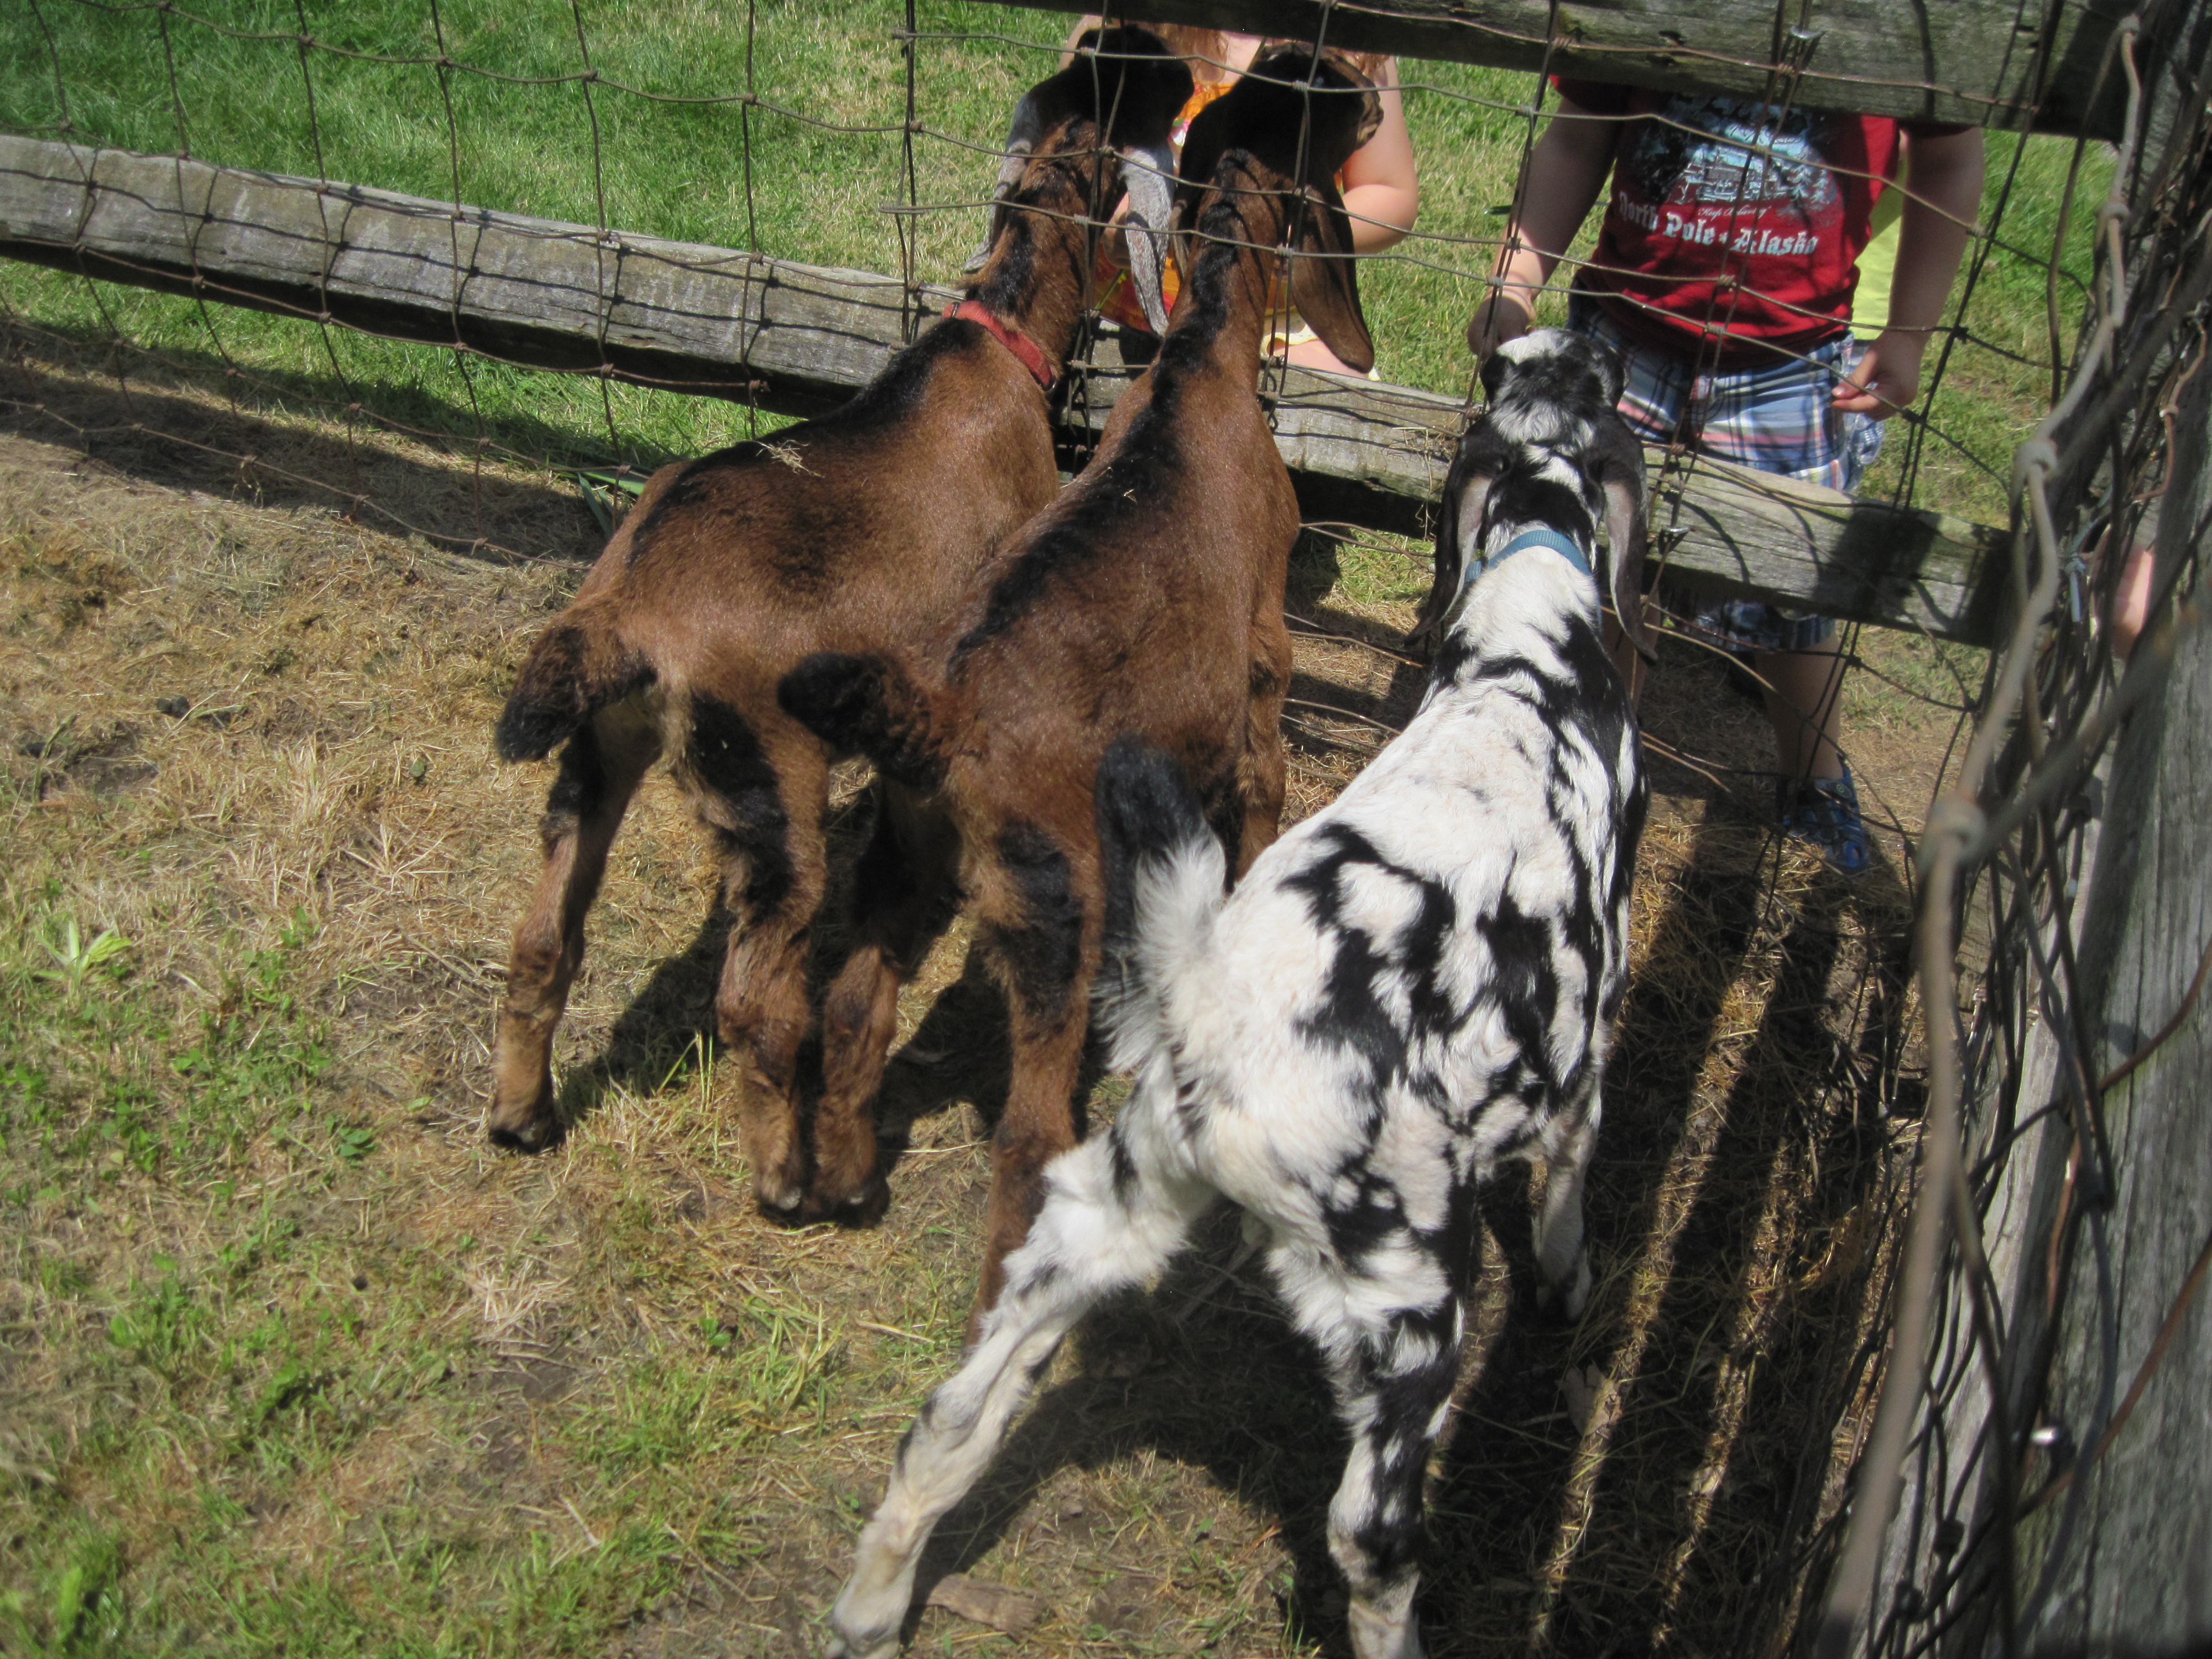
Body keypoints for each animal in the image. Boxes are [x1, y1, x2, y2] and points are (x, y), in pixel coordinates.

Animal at [487, 29, 1194, 1221]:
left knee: (546, 938)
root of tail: (632, 609)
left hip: (599, 754)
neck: (993, 347)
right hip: (771, 789)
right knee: (754, 1006)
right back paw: (787, 1180)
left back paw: (521, 1116)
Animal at [787, 52, 1380, 1318]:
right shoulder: (1261, 677)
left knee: (855, 1005)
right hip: (1059, 909)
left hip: (908, 859)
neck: (1200, 358)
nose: (1369, 92)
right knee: (1027, 1135)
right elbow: (1263, 800)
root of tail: (945, 718)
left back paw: (848, 1178)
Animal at [832, 332, 1663, 1659]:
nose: (1596, 339)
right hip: (1408, 1303)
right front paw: (1571, 1280)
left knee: (952, 1416)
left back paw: (869, 1607)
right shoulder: (1589, 1034)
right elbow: (1574, 1175)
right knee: (1368, 1542)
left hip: (1099, 1212)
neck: (1524, 659)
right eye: (1599, 373)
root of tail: (1216, 1019)